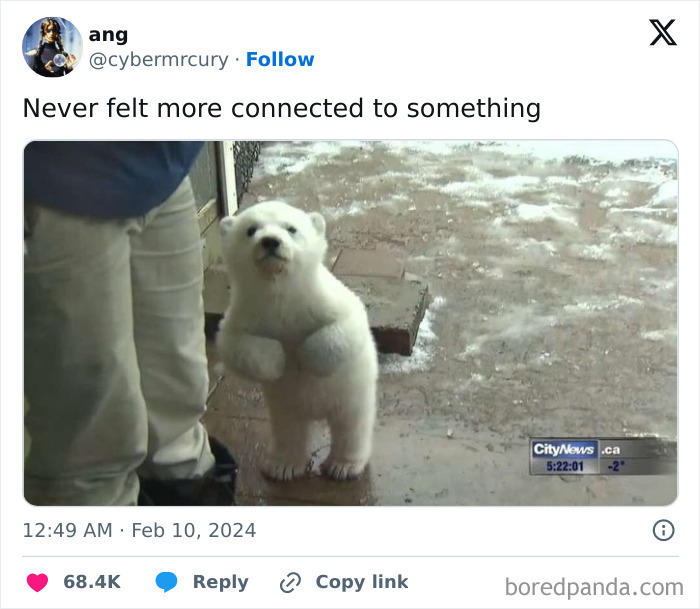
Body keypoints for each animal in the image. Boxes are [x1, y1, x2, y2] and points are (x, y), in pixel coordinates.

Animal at [216, 201, 378, 481]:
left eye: (291, 228)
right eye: (251, 230)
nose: (270, 241)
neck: (281, 293)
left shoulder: (321, 299)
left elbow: (350, 323)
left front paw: (305, 354)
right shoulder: (248, 311)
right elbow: (232, 343)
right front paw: (278, 360)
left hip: (352, 390)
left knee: (351, 424)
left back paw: (343, 465)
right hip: (285, 404)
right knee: (288, 428)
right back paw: (282, 465)